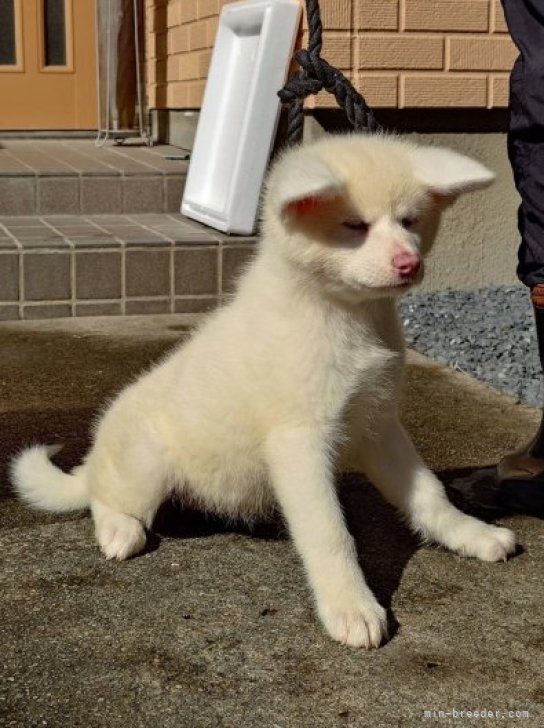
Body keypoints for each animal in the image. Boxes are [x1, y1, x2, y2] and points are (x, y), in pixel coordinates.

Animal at [10, 135, 516, 648]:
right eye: (355, 225)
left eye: (410, 221)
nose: (409, 263)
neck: (342, 314)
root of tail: (95, 456)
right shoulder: (299, 442)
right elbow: (329, 533)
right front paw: (351, 606)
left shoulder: (378, 425)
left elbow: (429, 493)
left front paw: (470, 534)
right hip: (147, 462)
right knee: (104, 496)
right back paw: (119, 529)